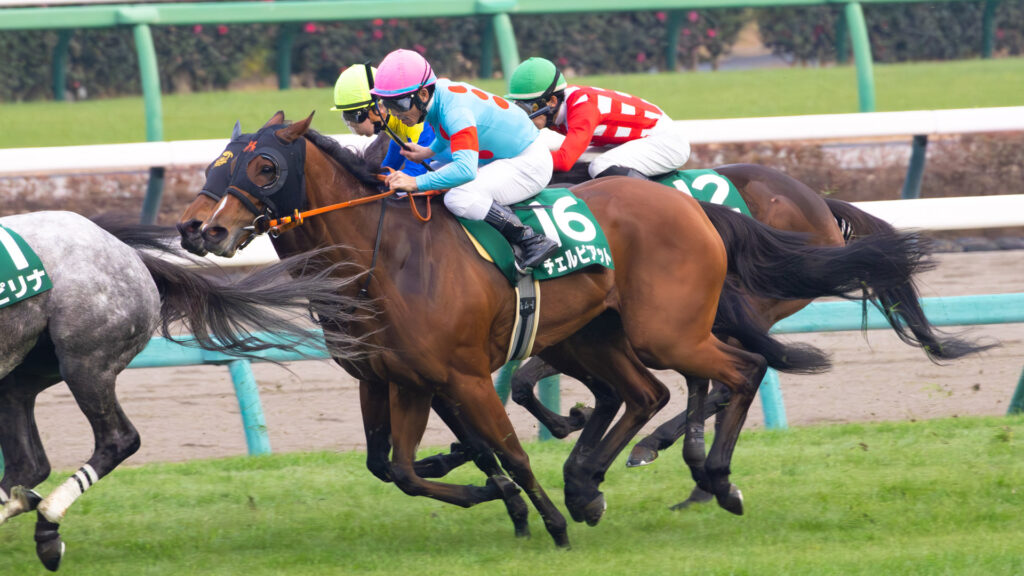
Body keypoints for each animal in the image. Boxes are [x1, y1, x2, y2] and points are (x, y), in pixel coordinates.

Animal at [0, 210, 371, 571]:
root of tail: (126, 251)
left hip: (85, 360)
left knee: (118, 440)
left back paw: (47, 521)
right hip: (24, 371)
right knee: (30, 463)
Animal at [195, 111, 925, 544]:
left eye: (264, 166)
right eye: (215, 162)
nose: (202, 228)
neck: (385, 256)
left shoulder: (462, 372)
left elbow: (507, 448)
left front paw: (541, 518)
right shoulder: (392, 378)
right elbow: (394, 467)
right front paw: (490, 491)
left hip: (668, 328)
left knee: (734, 371)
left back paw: (710, 478)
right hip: (599, 332)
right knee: (651, 391)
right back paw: (601, 482)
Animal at [508, 164, 995, 510]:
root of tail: (817, 201)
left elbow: (530, 379)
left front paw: (572, 425)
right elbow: (523, 381)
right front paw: (567, 421)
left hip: (754, 305)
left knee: (734, 378)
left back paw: (670, 457)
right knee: (729, 378)